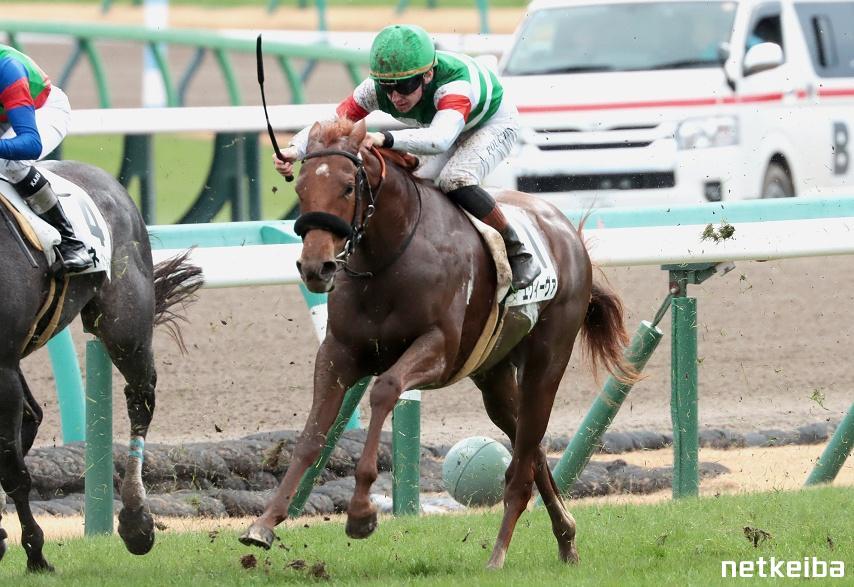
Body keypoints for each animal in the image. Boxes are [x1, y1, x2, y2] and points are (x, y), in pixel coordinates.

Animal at [0, 160, 202, 573]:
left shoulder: (2, 368)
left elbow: (13, 471)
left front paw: (37, 555)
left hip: (126, 324)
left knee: (141, 399)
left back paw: (137, 522)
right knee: (32, 416)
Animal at [240, 118, 635, 569]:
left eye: (347, 187)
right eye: (301, 189)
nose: (314, 267)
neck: (388, 258)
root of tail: (567, 230)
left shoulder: (439, 349)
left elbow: (385, 391)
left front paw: (361, 514)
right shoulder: (337, 353)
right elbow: (311, 437)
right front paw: (264, 524)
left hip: (546, 363)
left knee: (522, 463)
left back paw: (498, 553)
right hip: (494, 378)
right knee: (529, 449)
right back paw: (566, 538)